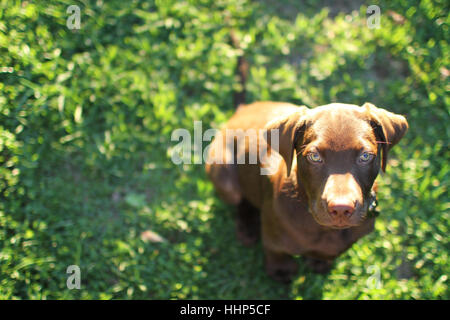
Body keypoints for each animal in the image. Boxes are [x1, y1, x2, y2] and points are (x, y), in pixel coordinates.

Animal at [206, 100, 410, 282]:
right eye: (314, 157)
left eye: (365, 156)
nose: (341, 208)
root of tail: (241, 109)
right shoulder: (273, 237)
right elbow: (275, 251)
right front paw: (280, 270)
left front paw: (319, 262)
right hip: (225, 176)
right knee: (241, 200)